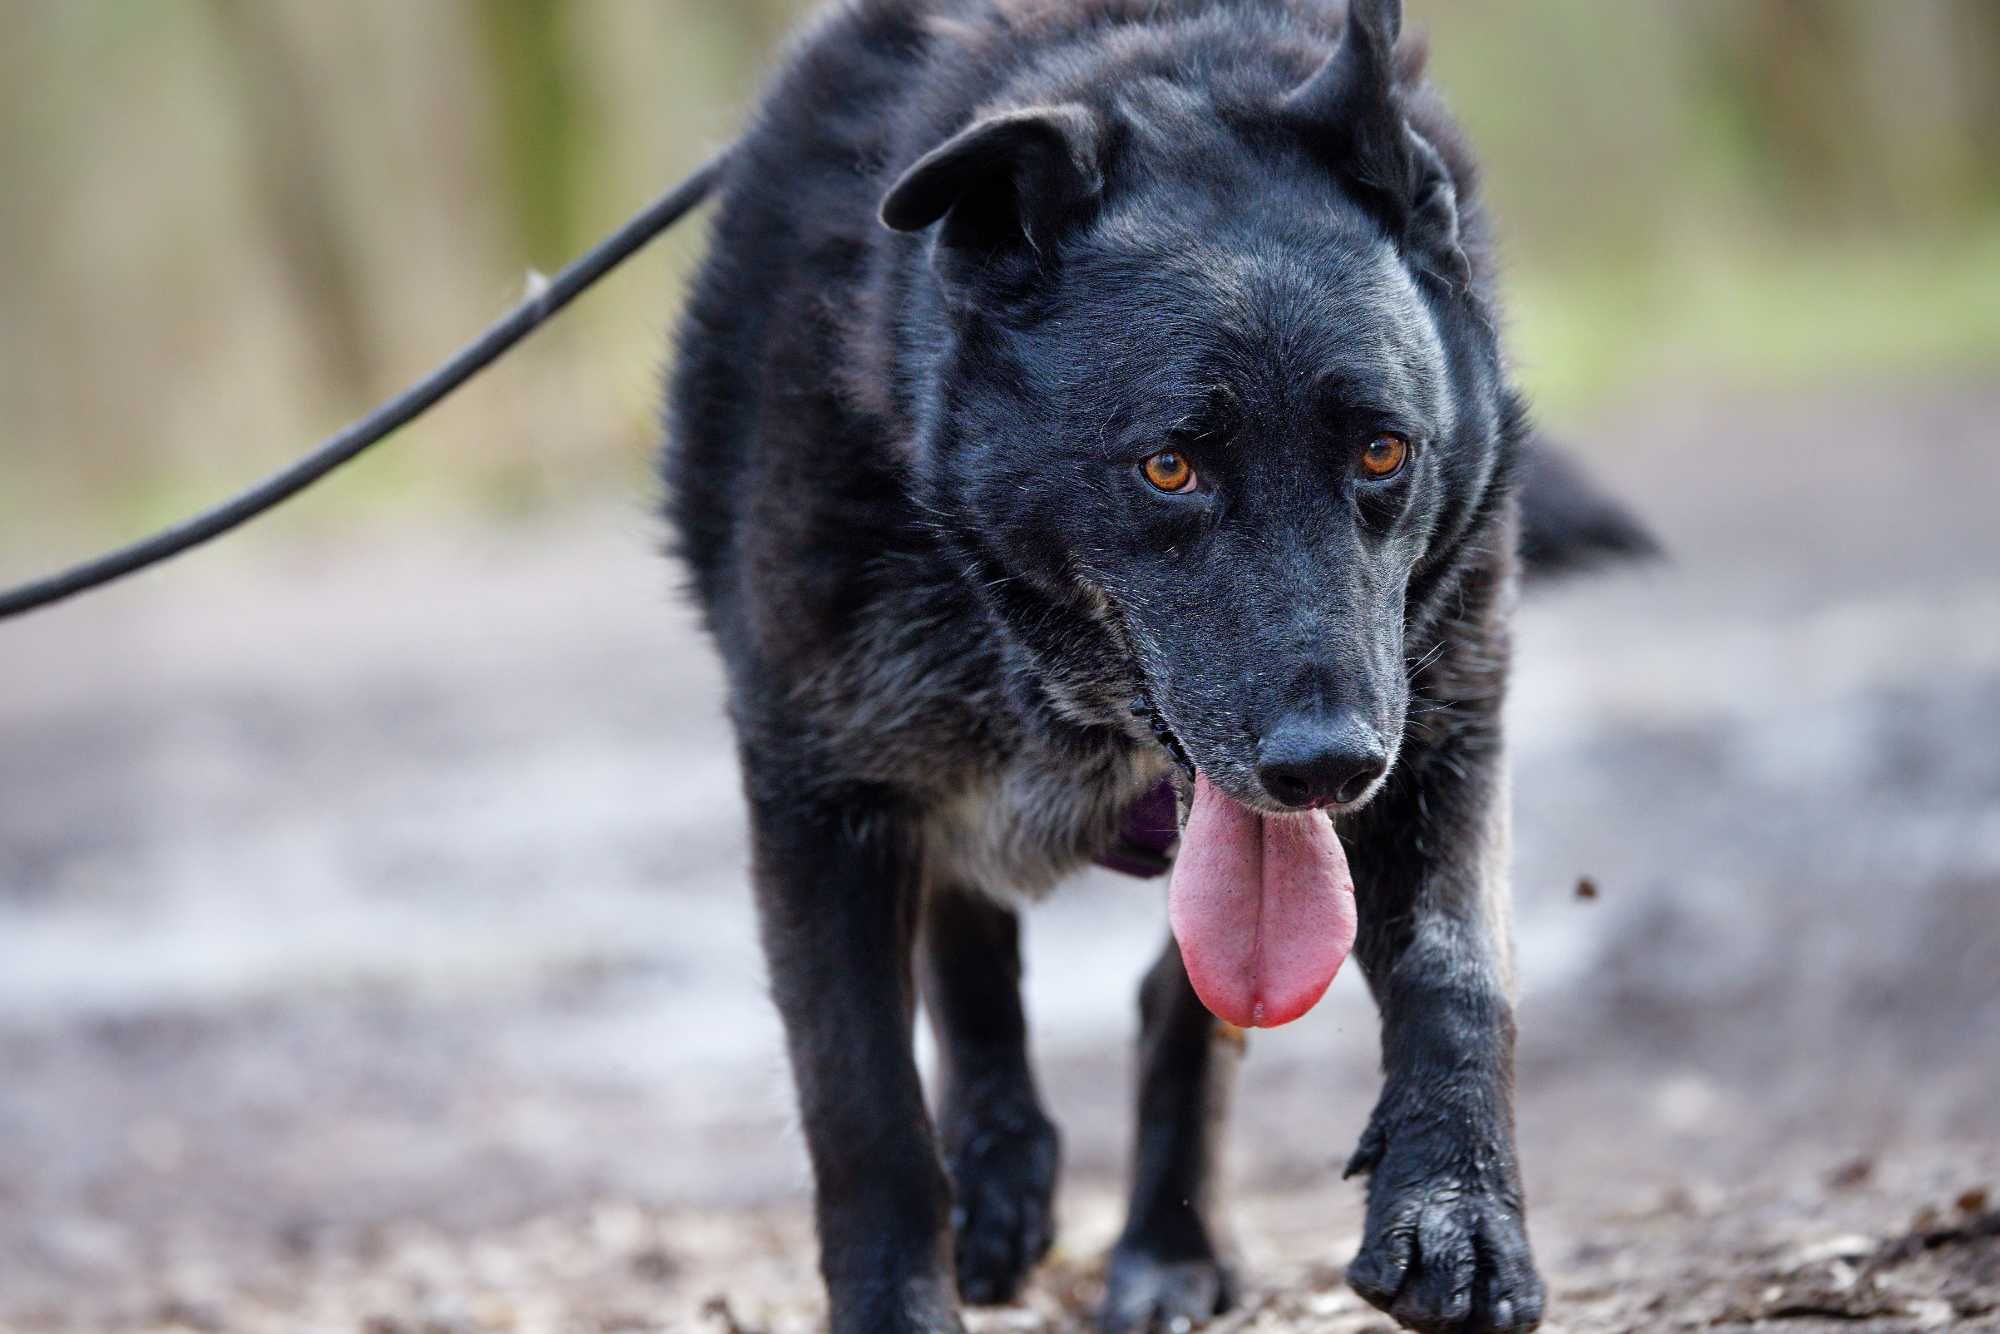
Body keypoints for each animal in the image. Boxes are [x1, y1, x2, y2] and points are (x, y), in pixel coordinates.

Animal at [664, 5, 1648, 1328]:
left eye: (1381, 450)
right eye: (1168, 467)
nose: (1327, 764)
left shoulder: (1443, 723)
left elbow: (1454, 968)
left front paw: (1456, 1213)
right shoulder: (818, 791)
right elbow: (864, 1107)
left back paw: (1168, 1243)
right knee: (967, 941)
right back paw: (1000, 1167)